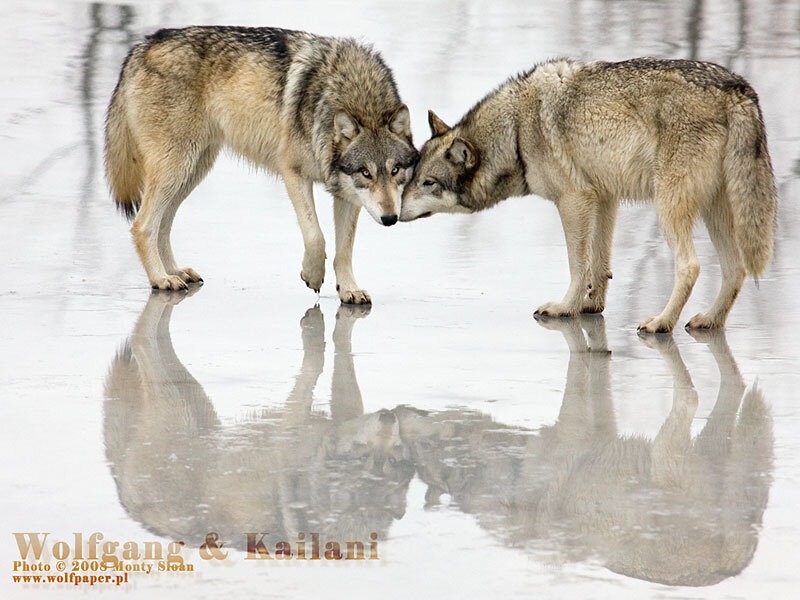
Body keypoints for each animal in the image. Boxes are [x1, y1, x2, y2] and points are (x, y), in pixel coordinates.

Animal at [105, 26, 418, 303]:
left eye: (395, 171)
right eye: (366, 172)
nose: (390, 218)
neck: (352, 94)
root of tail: (144, 44)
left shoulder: (345, 193)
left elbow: (344, 250)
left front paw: (349, 290)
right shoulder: (293, 172)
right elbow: (316, 237)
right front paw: (313, 275)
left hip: (192, 171)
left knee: (164, 225)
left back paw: (175, 271)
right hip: (176, 169)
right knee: (143, 225)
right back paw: (161, 279)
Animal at [400, 58, 776, 332]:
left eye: (428, 183)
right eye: (412, 178)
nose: (395, 214)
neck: (515, 132)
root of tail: (738, 88)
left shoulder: (574, 200)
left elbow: (577, 263)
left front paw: (565, 307)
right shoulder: (604, 198)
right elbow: (599, 263)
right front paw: (590, 306)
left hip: (668, 208)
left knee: (691, 266)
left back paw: (661, 323)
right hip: (714, 212)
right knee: (736, 269)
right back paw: (709, 321)